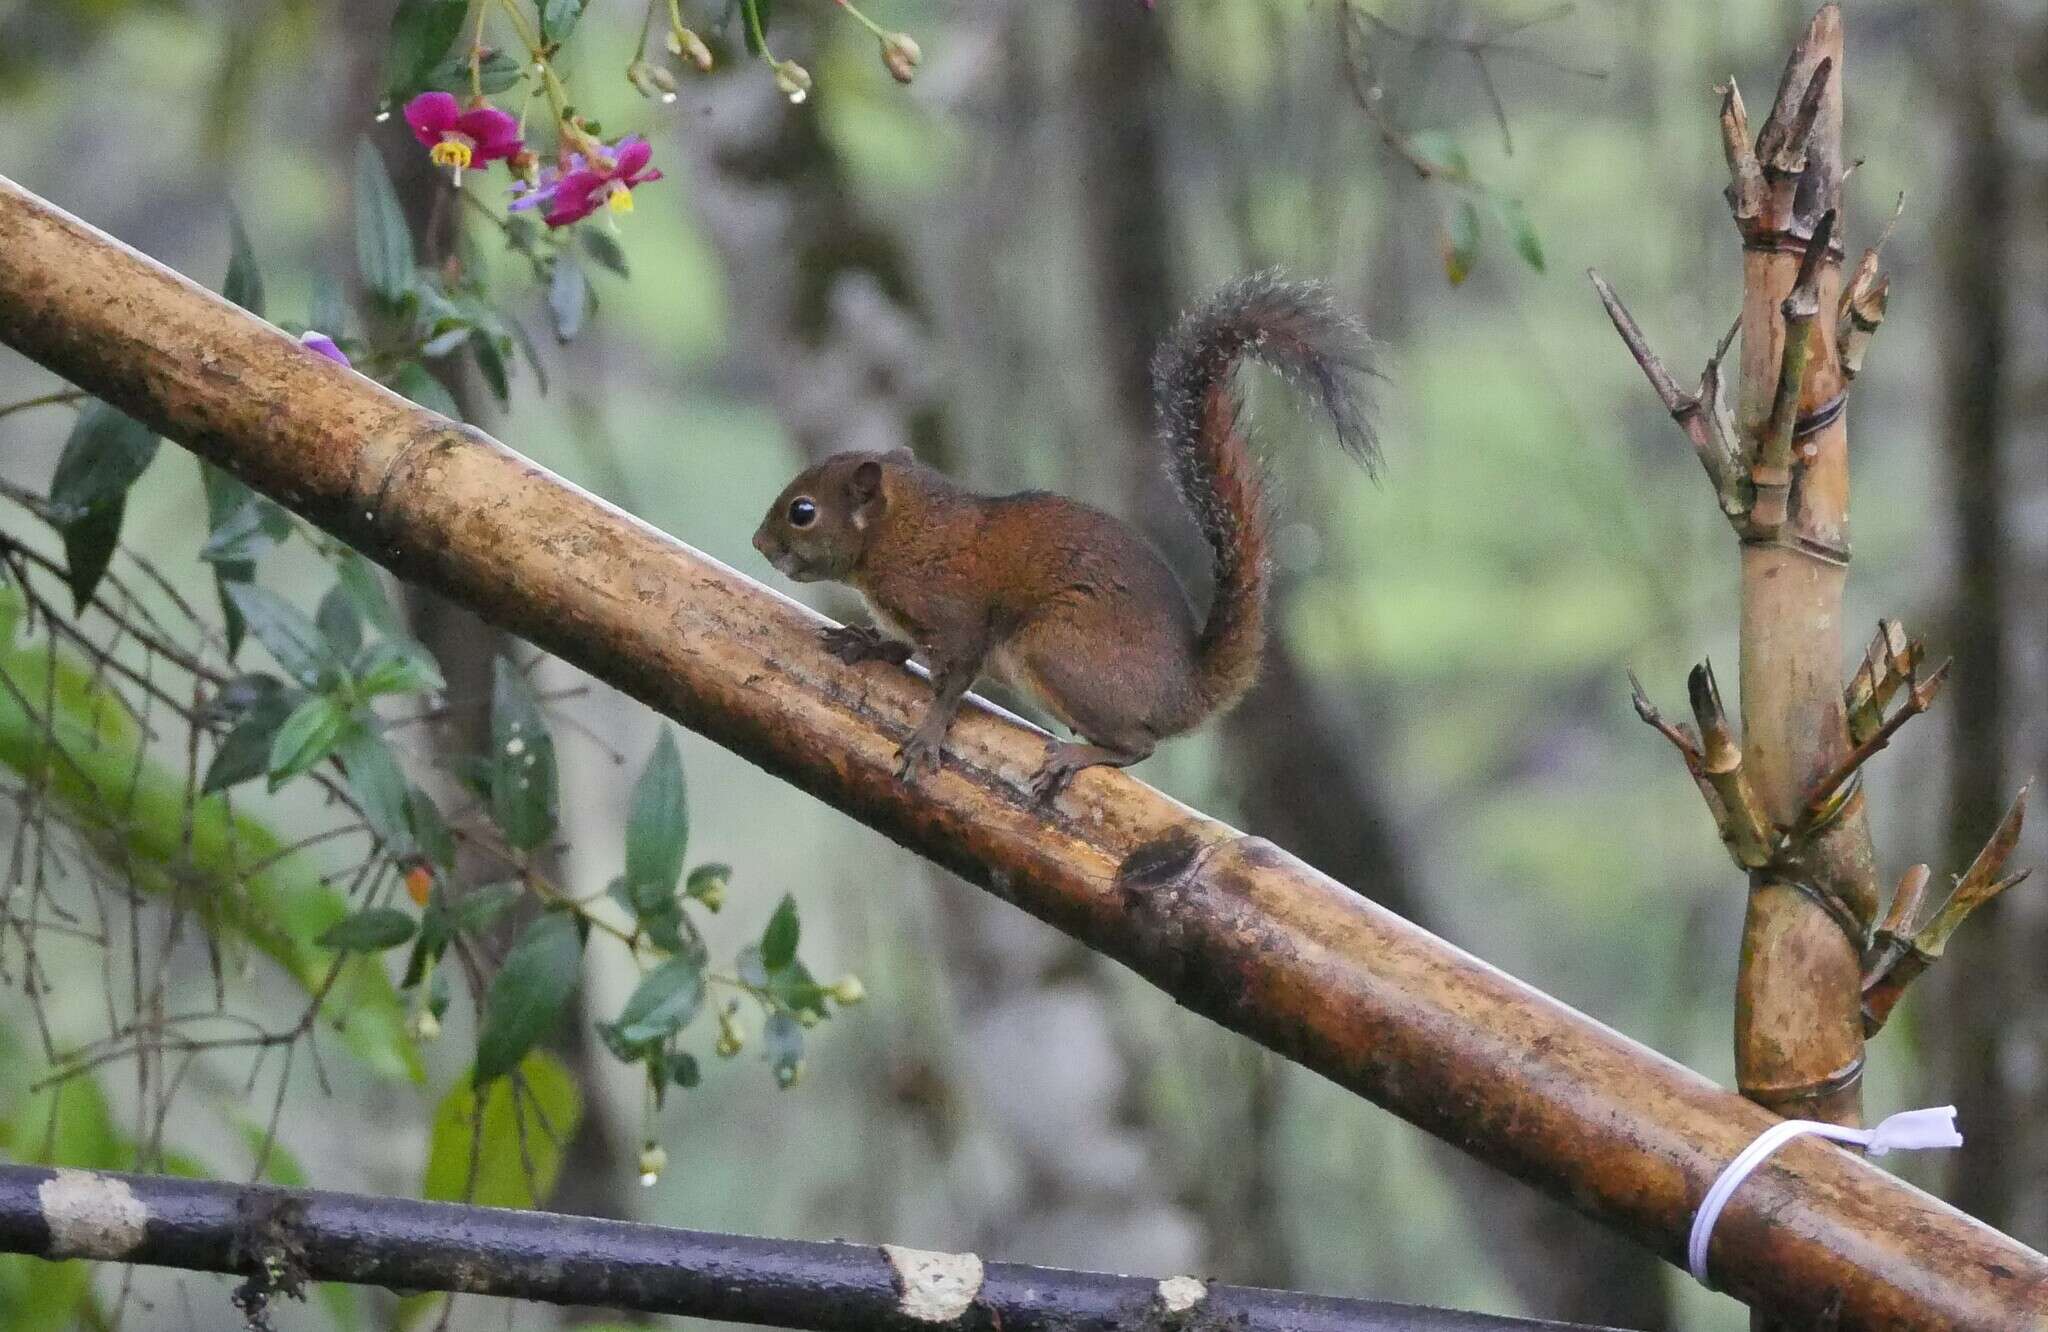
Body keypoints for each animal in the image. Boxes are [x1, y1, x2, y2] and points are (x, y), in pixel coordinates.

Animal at [753, 272, 1376, 799]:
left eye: (803, 512)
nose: (760, 544)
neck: (904, 532)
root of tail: (1185, 689)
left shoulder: (955, 615)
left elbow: (954, 683)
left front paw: (927, 736)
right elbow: (899, 645)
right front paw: (865, 642)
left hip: (1055, 652)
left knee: (1140, 745)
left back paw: (1082, 757)